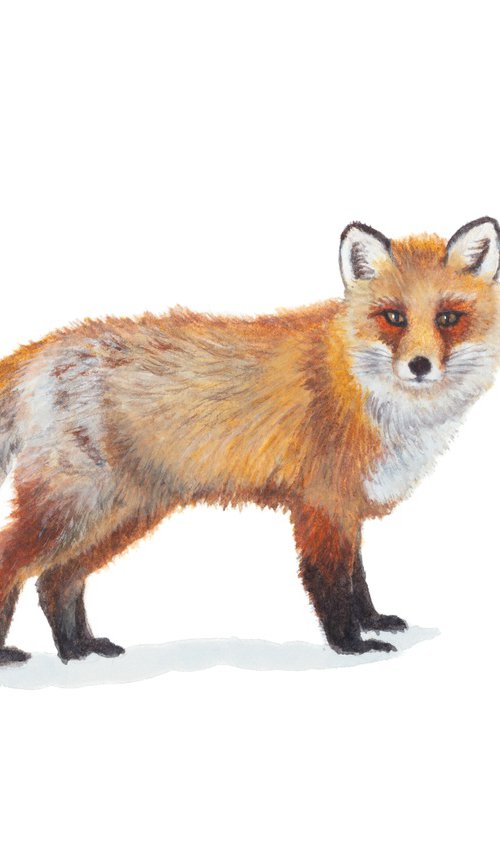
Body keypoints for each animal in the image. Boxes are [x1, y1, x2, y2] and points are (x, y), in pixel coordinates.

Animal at [0, 216, 498, 665]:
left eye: (448, 318)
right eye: (394, 317)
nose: (420, 365)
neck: (363, 388)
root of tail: (43, 347)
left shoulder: (348, 507)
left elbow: (358, 581)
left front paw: (372, 621)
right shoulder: (321, 505)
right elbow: (332, 584)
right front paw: (351, 645)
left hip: (120, 516)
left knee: (55, 583)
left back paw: (78, 650)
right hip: (77, 509)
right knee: (16, 564)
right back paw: (12, 654)